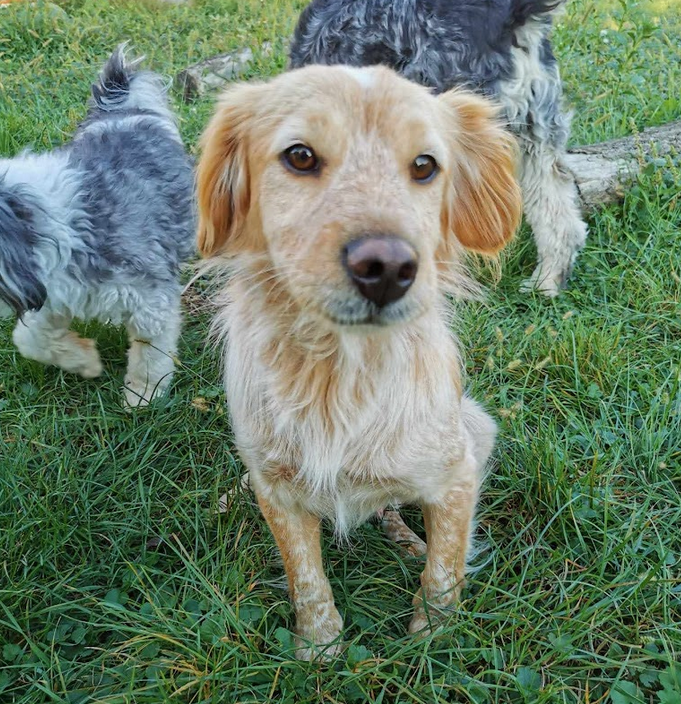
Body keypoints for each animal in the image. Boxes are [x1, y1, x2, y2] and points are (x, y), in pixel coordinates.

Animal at [0, 46, 194, 406]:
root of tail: (125, 112)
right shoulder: (53, 294)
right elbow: (31, 340)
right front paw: (85, 360)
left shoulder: (149, 298)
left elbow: (151, 354)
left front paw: (144, 395)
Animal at [196, 64, 522, 658]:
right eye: (300, 156)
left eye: (425, 165)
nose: (388, 267)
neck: (338, 371)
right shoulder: (279, 490)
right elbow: (306, 576)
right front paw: (320, 647)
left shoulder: (457, 474)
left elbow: (444, 571)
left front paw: (430, 638)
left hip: (478, 423)